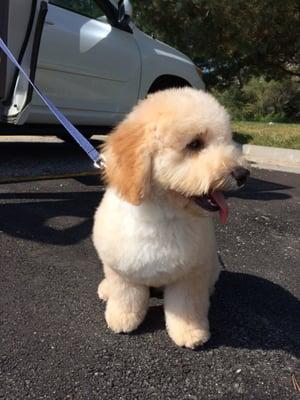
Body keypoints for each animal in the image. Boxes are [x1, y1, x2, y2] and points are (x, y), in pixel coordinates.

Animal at [92, 86, 250, 346]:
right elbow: (126, 296)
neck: (164, 214)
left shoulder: (190, 275)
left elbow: (187, 307)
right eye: (195, 144)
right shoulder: (123, 269)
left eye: (227, 139)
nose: (243, 174)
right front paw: (122, 318)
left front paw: (190, 331)